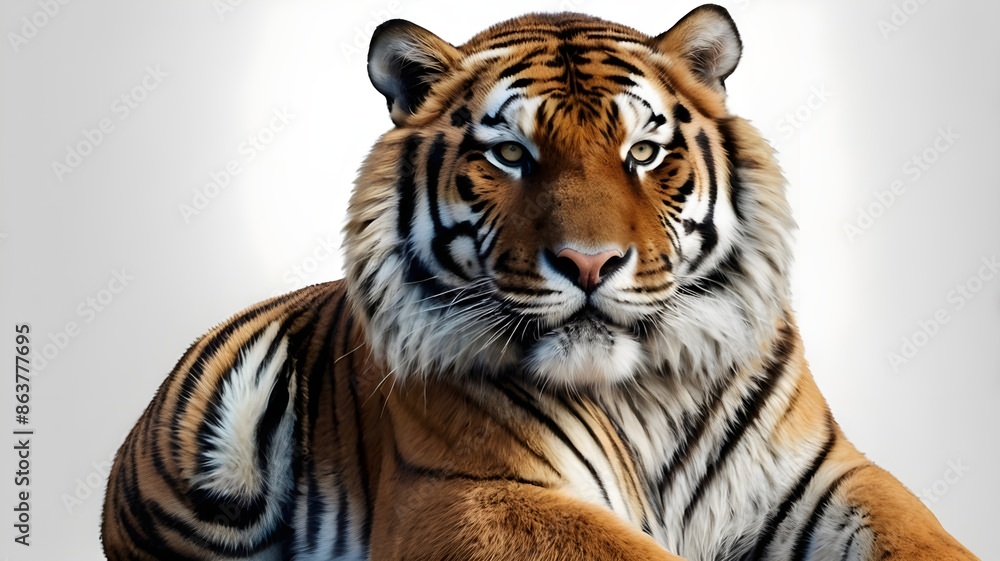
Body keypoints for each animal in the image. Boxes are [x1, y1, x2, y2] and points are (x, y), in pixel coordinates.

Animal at [101, 5, 979, 561]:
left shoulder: (826, 477)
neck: (642, 390)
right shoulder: (468, 492)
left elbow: (920, 534)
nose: (590, 264)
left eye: (643, 152)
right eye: (509, 155)